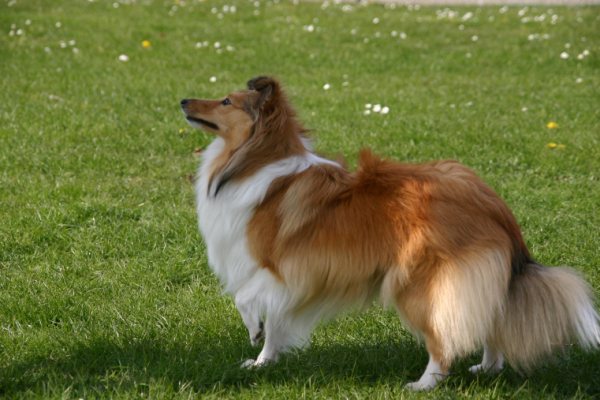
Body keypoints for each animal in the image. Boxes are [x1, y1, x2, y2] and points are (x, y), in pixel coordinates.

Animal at [182, 76, 600, 390]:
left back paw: (424, 384)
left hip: (419, 285)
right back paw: (488, 367)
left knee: (443, 340)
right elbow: (275, 323)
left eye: (226, 101)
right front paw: (262, 362)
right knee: (487, 318)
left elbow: (246, 298)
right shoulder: (287, 276)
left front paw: (254, 332)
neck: (255, 163)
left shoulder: (281, 268)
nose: (184, 99)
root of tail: (493, 204)